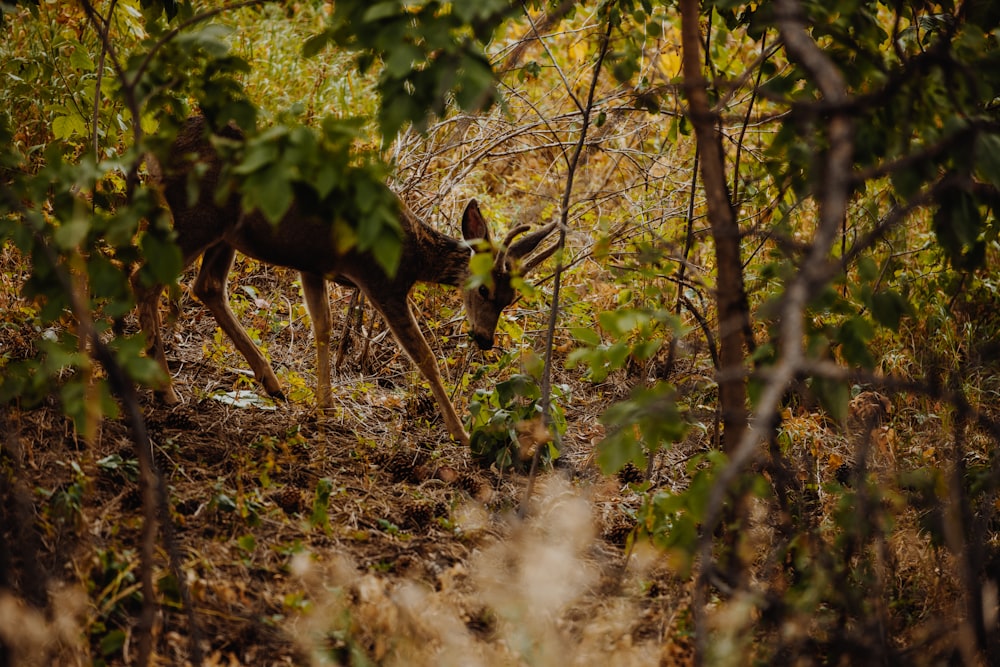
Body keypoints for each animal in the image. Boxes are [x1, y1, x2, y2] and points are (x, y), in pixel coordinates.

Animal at [139, 117, 564, 446]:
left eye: (510, 299)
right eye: (484, 289)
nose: (485, 340)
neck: (413, 251)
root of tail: (156, 142)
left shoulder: (312, 266)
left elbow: (323, 327)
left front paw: (325, 407)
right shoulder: (381, 282)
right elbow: (424, 357)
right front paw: (459, 432)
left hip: (227, 231)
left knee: (207, 286)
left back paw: (270, 382)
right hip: (199, 215)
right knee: (146, 279)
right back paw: (165, 390)